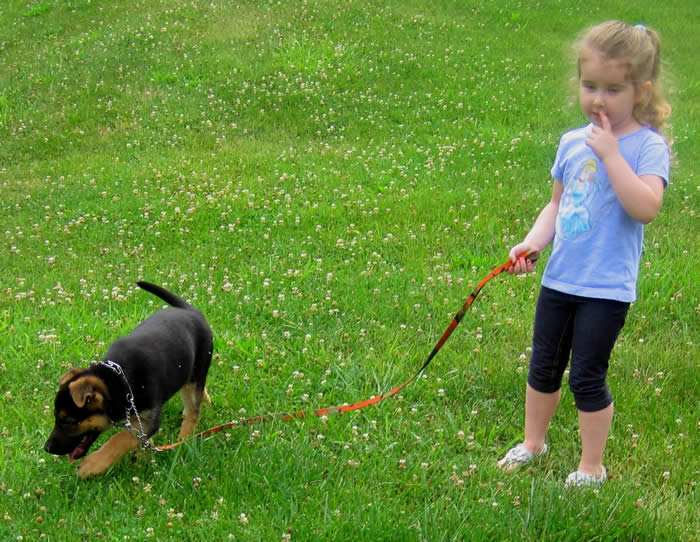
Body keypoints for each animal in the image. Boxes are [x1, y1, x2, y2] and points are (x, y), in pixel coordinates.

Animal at [44, 281, 213, 478]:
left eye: (69, 422)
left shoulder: (148, 418)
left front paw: (94, 464)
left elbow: (121, 437)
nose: (47, 448)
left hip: (197, 370)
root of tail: (190, 310)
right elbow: (139, 439)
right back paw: (206, 401)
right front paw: (143, 459)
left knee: (192, 412)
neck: (117, 381)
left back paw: (183, 440)